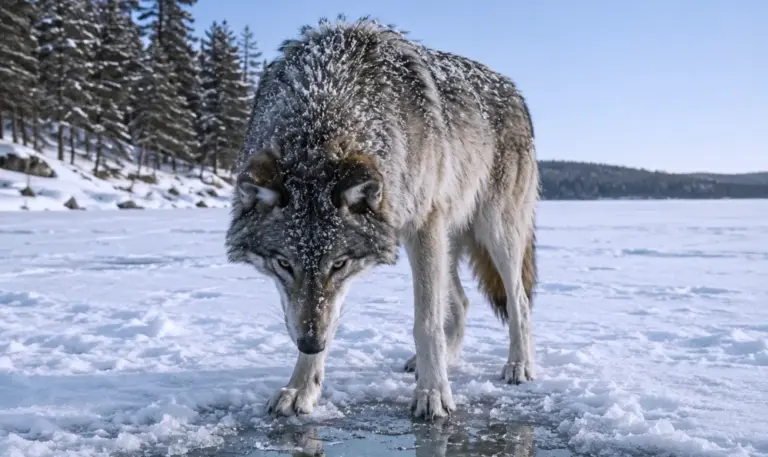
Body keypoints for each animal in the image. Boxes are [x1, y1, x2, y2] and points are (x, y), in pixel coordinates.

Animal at [225, 16, 539, 420]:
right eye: (283, 264)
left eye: (339, 264)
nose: (311, 344)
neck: (328, 91)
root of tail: (514, 90)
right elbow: (324, 319)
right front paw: (301, 388)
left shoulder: (424, 223)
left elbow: (426, 321)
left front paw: (433, 394)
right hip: (436, 240)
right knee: (462, 302)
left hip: (494, 233)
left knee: (518, 300)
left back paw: (519, 365)